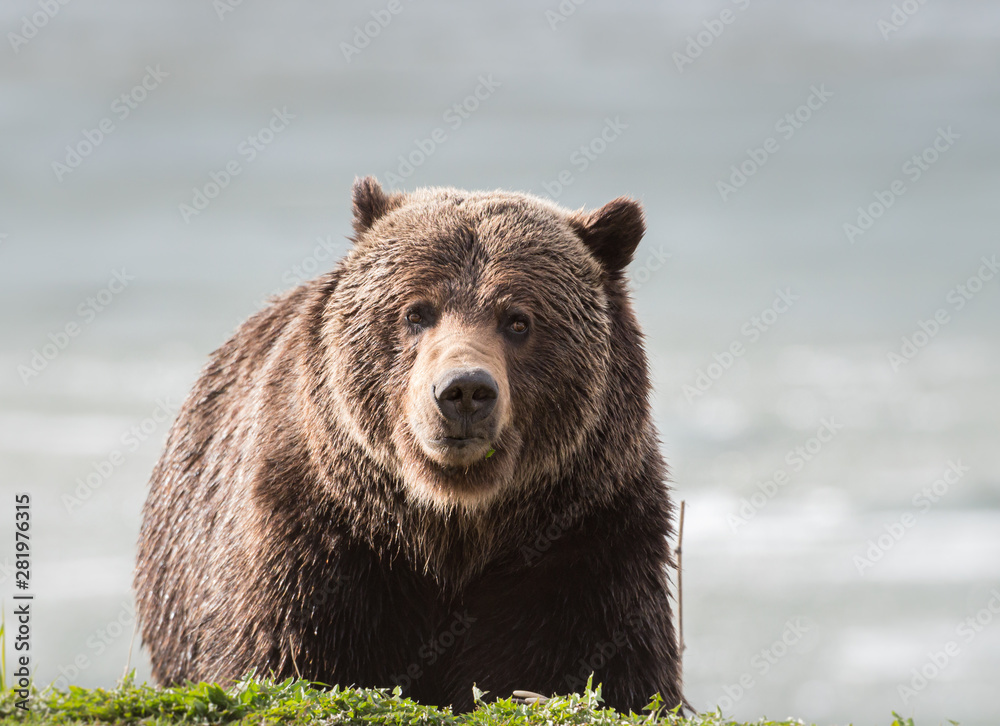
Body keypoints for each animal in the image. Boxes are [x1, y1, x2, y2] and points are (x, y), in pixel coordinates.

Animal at [134, 176, 684, 714]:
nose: (464, 390)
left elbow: (609, 670)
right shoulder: (317, 535)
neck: (449, 526)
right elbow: (280, 653)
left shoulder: (588, 540)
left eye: (518, 319)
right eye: (416, 312)